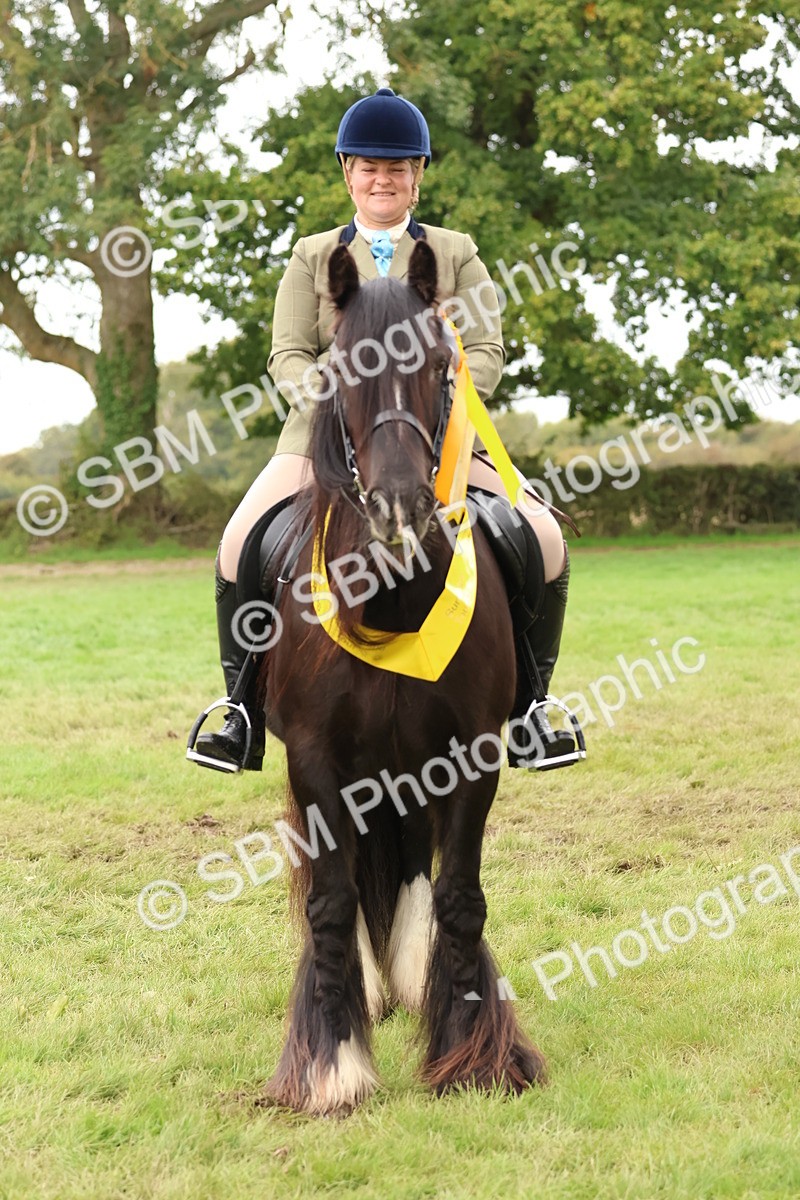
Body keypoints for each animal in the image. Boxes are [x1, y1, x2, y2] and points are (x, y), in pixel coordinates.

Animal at [260, 239, 546, 1115]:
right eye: (340, 368)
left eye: (440, 367)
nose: (398, 507)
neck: (391, 595)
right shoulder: (314, 756)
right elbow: (328, 900)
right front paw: (331, 1064)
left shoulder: (470, 750)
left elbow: (460, 895)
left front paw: (475, 1053)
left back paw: (419, 983)